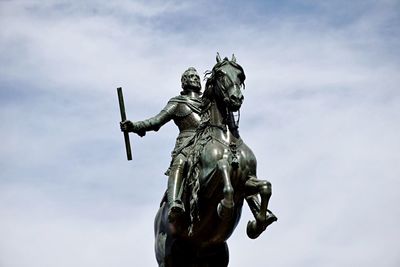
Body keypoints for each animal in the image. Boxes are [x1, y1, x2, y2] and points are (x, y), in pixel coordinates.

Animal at [155, 54, 276, 266]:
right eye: (220, 74)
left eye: (240, 74)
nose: (236, 98)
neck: (228, 142)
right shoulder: (203, 186)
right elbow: (223, 168)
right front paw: (225, 207)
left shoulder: (247, 180)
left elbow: (265, 186)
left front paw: (259, 223)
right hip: (167, 258)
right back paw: (176, 208)